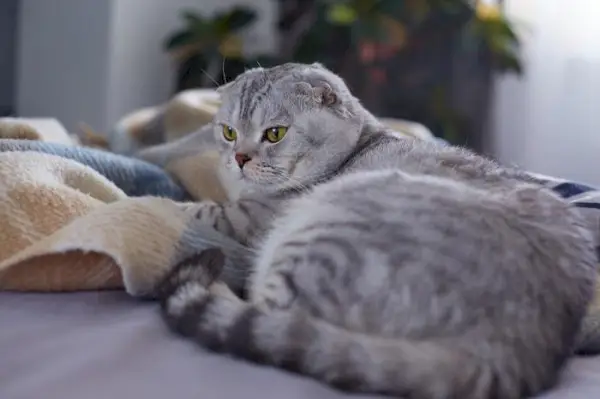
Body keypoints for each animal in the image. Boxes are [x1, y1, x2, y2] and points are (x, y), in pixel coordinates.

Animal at [154, 63, 596, 399]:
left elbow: (191, 208)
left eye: (275, 133)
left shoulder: (243, 217)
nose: (240, 158)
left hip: (320, 239)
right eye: (228, 132)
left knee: (262, 307)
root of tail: (511, 346)